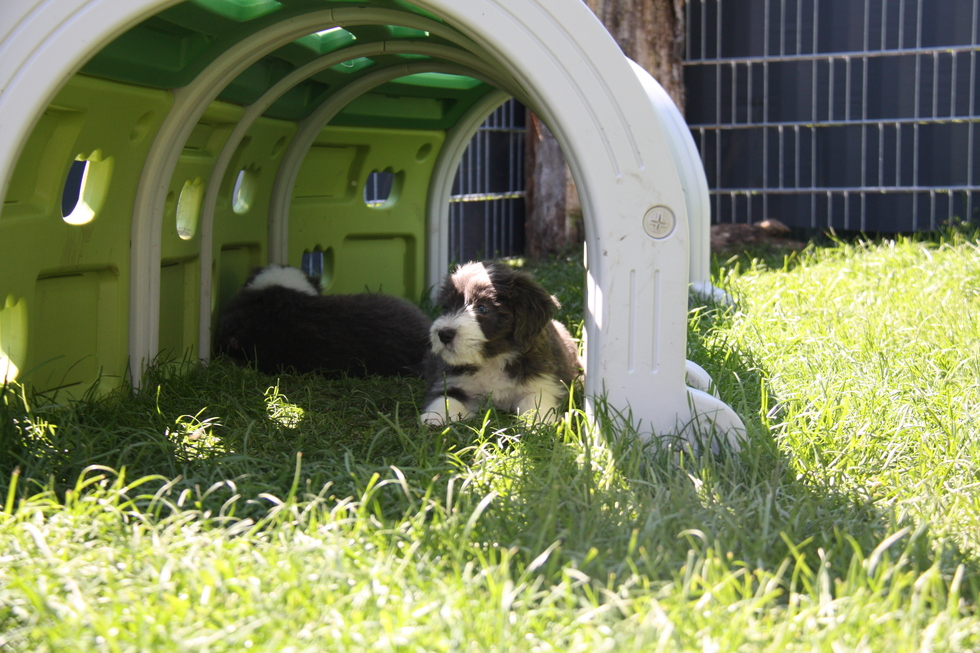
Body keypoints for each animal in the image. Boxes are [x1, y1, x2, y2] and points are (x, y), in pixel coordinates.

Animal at [420, 261, 581, 425]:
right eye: (446, 307)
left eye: (482, 308)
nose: (444, 334)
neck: (493, 360)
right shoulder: (450, 382)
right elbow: (445, 400)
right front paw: (435, 418)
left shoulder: (539, 384)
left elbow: (535, 405)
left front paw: (538, 424)